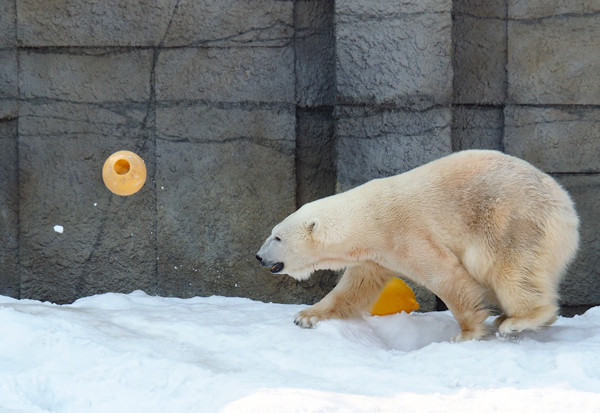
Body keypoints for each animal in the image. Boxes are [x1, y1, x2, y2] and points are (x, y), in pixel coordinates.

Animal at [255, 150, 580, 340]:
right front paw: (306, 316)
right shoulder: (376, 255)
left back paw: (517, 320)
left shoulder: (405, 233)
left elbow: (444, 274)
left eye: (277, 237)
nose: (258, 257)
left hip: (510, 219)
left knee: (508, 269)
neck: (369, 218)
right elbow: (354, 288)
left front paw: (467, 333)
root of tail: (565, 205)